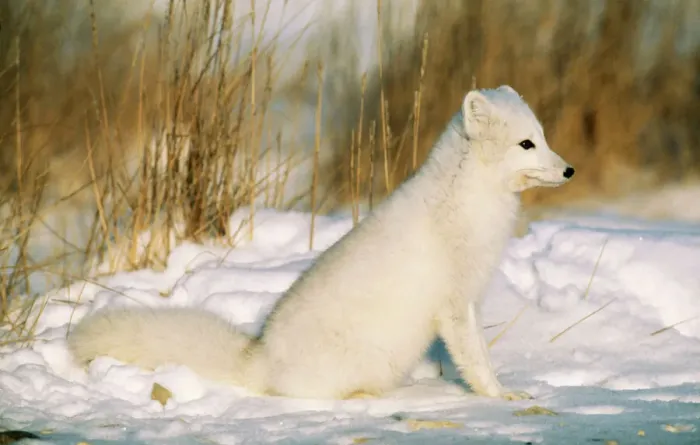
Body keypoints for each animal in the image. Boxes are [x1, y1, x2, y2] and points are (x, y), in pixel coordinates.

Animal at [67, 85, 574, 401]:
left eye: (544, 138)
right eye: (526, 144)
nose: (569, 169)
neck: (468, 198)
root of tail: (261, 358)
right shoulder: (457, 302)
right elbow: (477, 360)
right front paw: (501, 395)